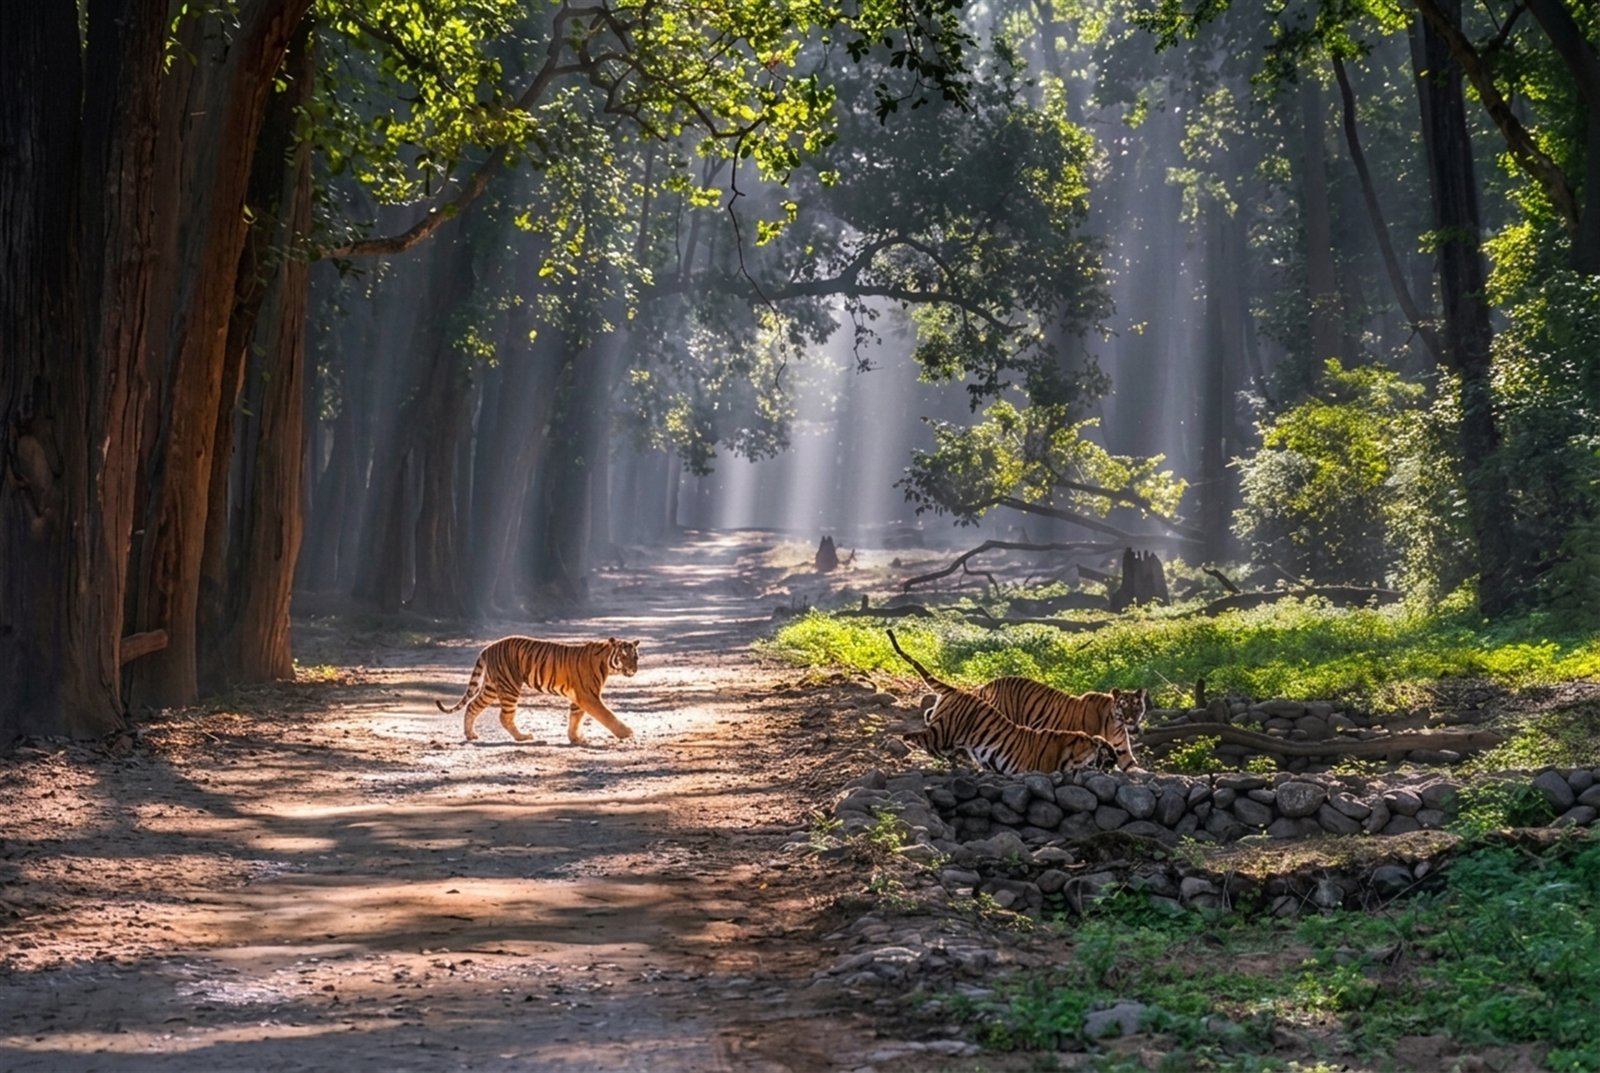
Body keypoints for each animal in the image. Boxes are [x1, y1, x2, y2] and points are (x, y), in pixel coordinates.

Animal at [435, 636, 639, 744]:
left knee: (472, 705)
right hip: (510, 686)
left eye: (635, 657)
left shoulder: (579, 697)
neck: (607, 664)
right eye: (623, 656)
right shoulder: (588, 695)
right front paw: (626, 732)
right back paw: (523, 737)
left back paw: (470, 734)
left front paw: (575, 738)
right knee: (504, 716)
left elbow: (575, 717)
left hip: (491, 687)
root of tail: (488, 647)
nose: (633, 670)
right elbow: (607, 714)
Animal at [886, 629, 1118, 776]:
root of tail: (958, 690)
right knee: (917, 736)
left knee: (929, 724)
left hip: (945, 730)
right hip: (944, 732)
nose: (1115, 763)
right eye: (1108, 756)